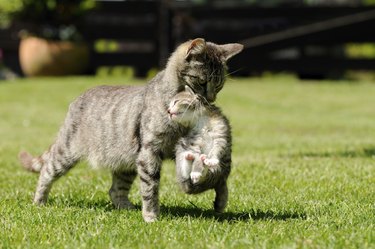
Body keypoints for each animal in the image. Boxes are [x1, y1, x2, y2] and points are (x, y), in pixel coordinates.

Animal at [19, 37, 244, 222]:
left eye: (220, 85)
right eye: (202, 81)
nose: (210, 100)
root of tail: (77, 100)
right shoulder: (150, 151)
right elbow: (150, 187)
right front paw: (151, 216)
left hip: (126, 164)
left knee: (115, 190)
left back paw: (127, 208)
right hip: (66, 153)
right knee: (46, 171)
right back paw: (39, 201)